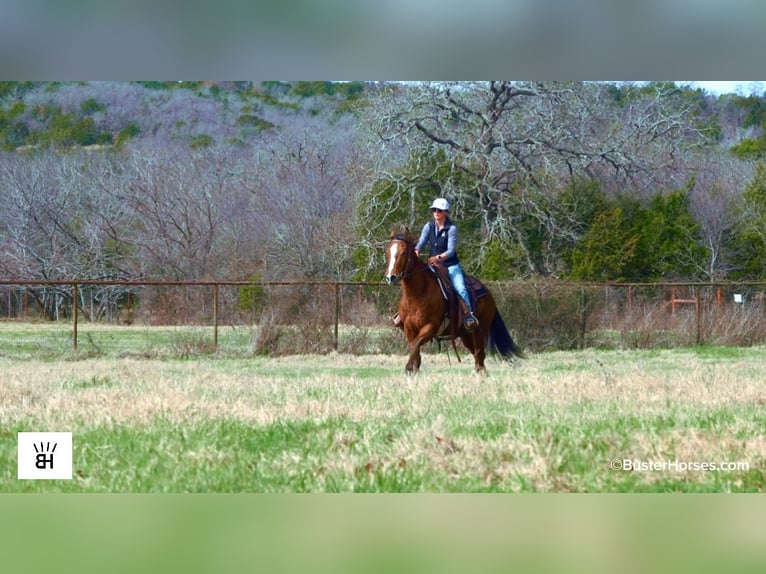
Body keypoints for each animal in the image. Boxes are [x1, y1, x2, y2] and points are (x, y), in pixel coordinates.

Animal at [384, 229, 525, 374]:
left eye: (404, 252)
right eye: (387, 251)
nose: (391, 277)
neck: (417, 295)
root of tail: (488, 294)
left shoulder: (430, 327)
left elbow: (415, 345)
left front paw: (408, 368)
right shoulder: (409, 329)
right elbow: (415, 349)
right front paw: (412, 370)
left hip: (479, 330)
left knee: (480, 354)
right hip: (465, 334)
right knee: (477, 356)